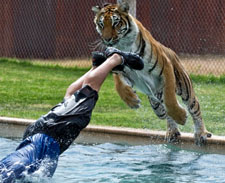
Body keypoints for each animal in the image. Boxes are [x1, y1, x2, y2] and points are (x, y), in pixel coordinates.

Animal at [91, 1, 211, 144]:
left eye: (116, 23)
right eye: (101, 24)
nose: (107, 39)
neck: (124, 46)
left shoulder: (165, 68)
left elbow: (170, 98)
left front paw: (181, 117)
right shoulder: (120, 68)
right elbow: (119, 85)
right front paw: (131, 100)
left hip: (185, 89)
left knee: (194, 108)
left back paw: (200, 133)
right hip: (156, 104)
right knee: (165, 113)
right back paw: (172, 132)